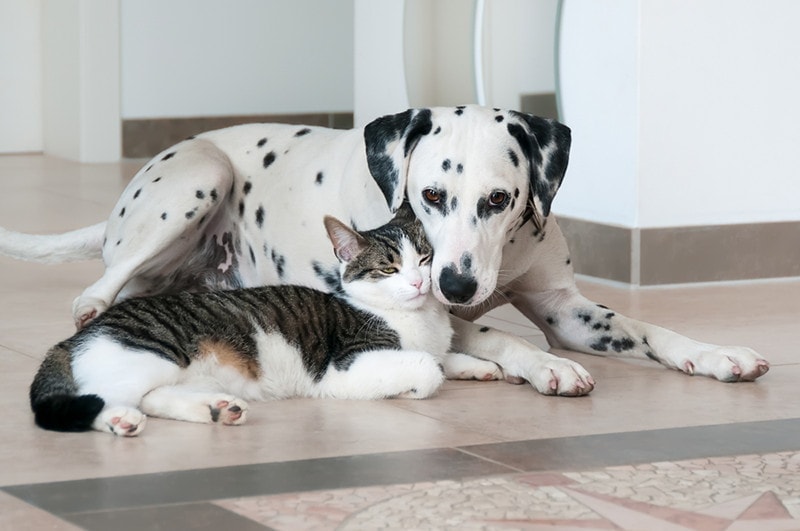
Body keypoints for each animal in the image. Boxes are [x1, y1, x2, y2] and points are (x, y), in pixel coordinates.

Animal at [0, 106, 768, 394]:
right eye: (430, 195)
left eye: (500, 199)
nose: (455, 284)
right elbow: (498, 334)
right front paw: (541, 365)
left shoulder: (567, 308)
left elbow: (650, 327)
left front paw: (715, 353)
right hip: (197, 179)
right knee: (102, 287)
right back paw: (93, 305)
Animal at [31, 204, 454, 436]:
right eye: (388, 269)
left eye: (425, 258)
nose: (419, 282)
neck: (420, 319)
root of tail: (79, 336)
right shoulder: (344, 367)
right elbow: (427, 367)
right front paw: (414, 384)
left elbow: (446, 359)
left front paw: (465, 364)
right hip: (147, 356)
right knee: (97, 397)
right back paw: (119, 420)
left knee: (153, 397)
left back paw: (217, 408)